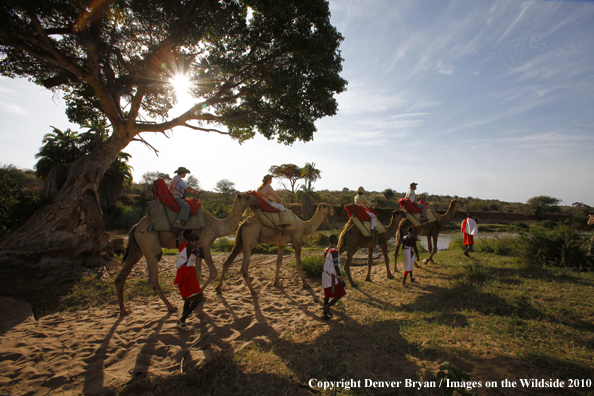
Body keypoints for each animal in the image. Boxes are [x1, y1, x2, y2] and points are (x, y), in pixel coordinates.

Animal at [113, 192, 256, 316]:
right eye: (247, 196)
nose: (255, 199)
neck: (217, 225)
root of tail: (136, 226)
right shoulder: (205, 245)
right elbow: (213, 272)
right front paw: (198, 295)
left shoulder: (198, 246)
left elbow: (198, 272)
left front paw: (196, 294)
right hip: (148, 240)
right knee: (153, 274)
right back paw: (171, 307)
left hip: (137, 248)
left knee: (123, 274)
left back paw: (123, 311)